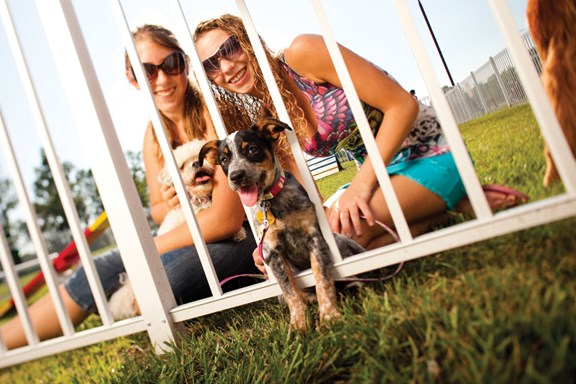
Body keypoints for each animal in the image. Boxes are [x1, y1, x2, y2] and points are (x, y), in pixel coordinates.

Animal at [200, 118, 366, 332]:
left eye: (252, 149)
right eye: (223, 160)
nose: (236, 176)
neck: (272, 202)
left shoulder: (315, 239)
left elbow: (322, 279)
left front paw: (330, 316)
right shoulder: (272, 252)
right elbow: (290, 290)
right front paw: (299, 324)